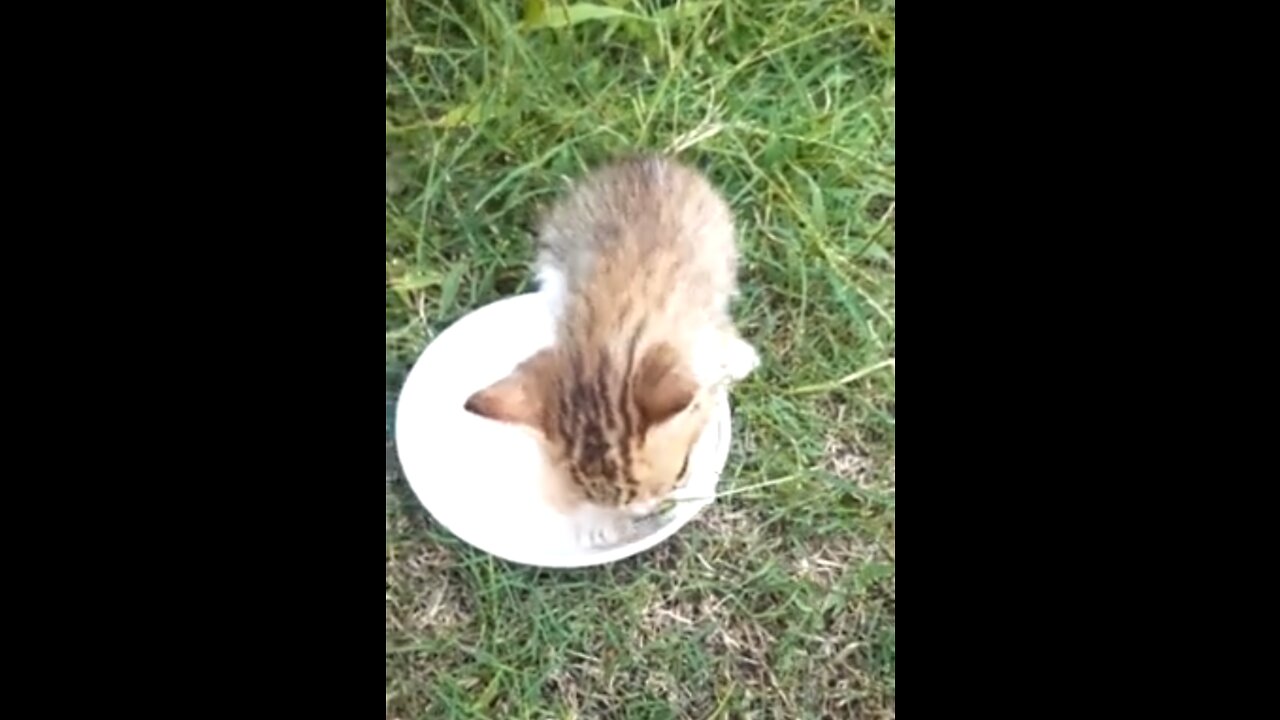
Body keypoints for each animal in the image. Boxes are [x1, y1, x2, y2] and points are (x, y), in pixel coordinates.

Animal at [463, 154, 752, 545]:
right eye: (595, 498)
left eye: (682, 471)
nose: (648, 513)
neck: (609, 343)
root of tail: (642, 159)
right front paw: (595, 523)